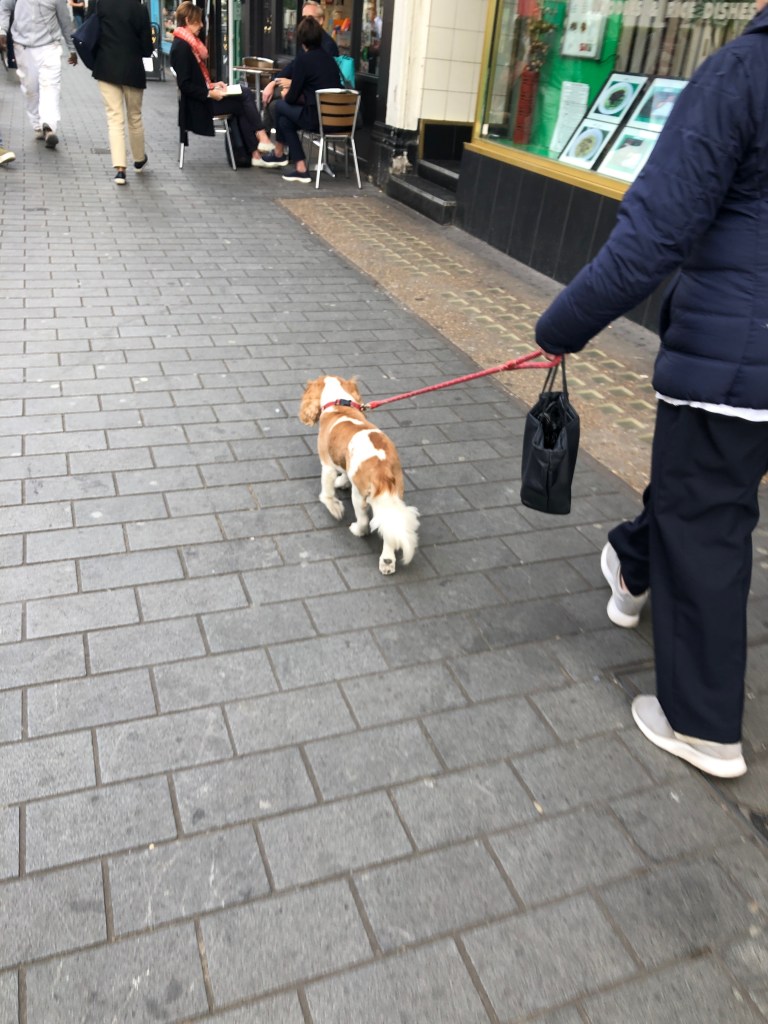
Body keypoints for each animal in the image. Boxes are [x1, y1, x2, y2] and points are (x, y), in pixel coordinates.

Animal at [299, 374, 419, 575]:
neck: (339, 403)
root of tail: (382, 469)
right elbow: (344, 475)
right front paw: (342, 482)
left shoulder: (327, 465)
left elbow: (327, 493)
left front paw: (334, 507)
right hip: (394, 495)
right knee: (389, 526)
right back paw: (387, 561)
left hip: (360, 495)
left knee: (364, 522)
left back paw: (356, 529)